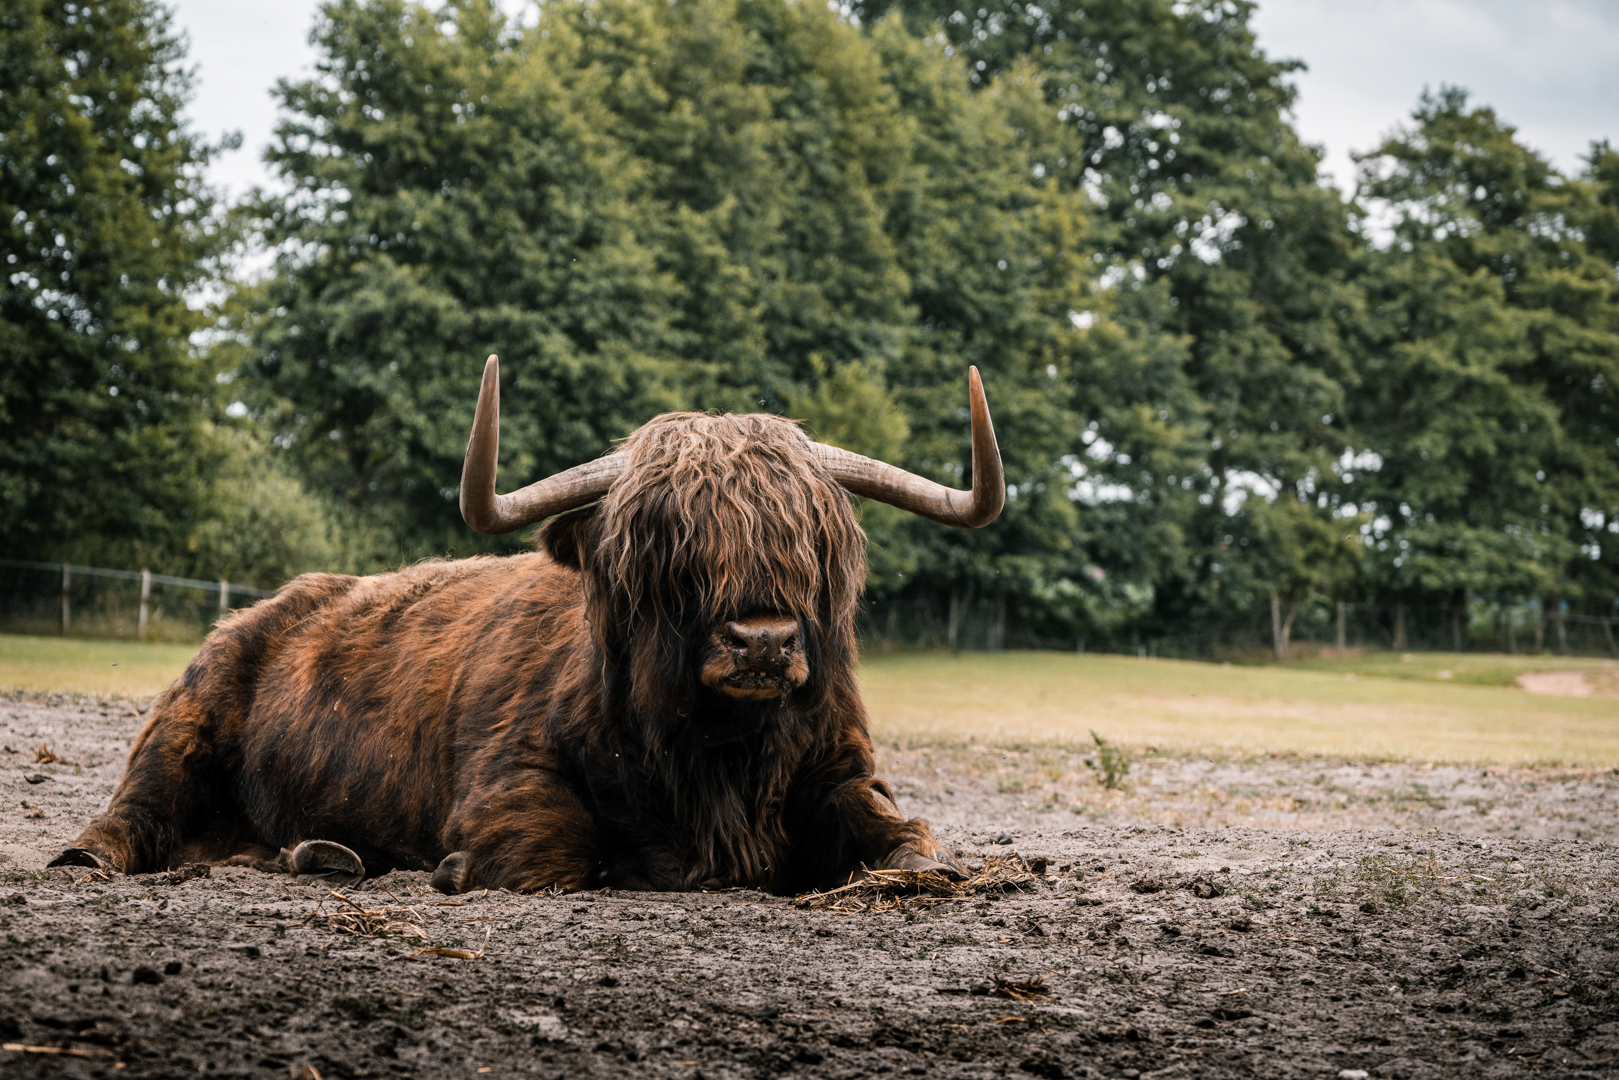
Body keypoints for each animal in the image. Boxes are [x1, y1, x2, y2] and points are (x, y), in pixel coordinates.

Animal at [49, 355, 1003, 895]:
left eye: (812, 544)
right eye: (669, 547)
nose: (762, 641)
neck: (720, 758)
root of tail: (271, 606)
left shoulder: (845, 772)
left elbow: (910, 846)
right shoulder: (510, 781)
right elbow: (554, 855)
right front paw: (455, 868)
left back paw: (326, 854)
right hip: (186, 720)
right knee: (135, 813)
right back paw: (92, 857)